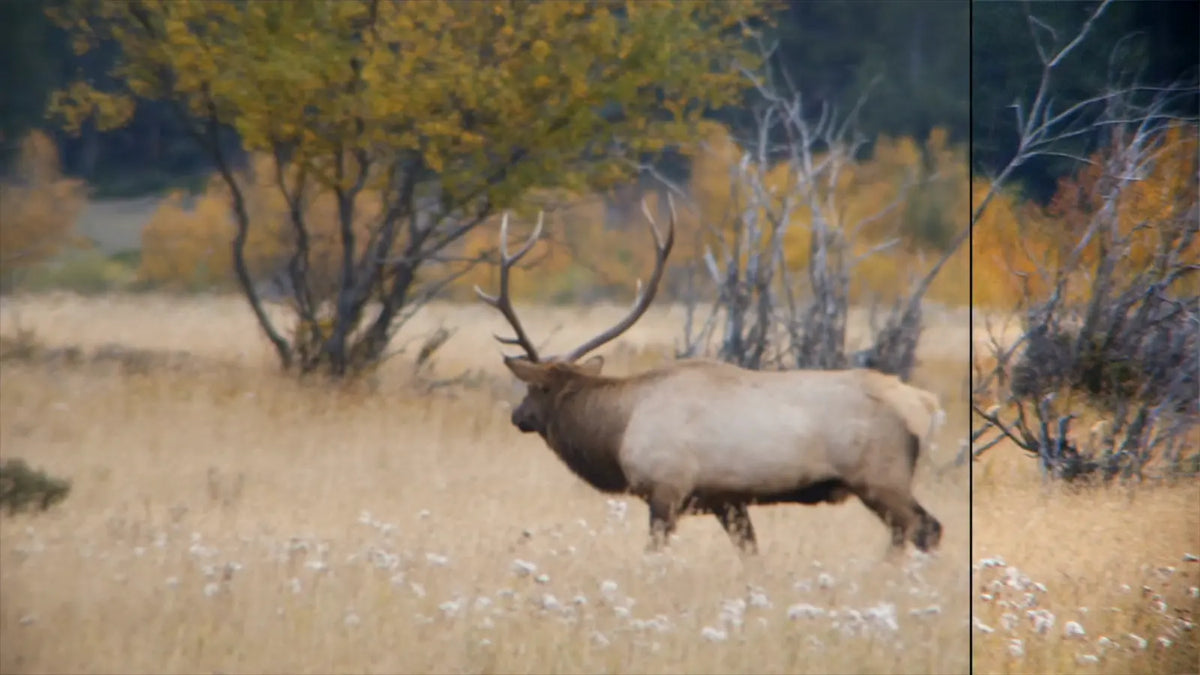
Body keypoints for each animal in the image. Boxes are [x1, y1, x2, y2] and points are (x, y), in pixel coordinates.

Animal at [475, 197, 945, 556]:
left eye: (536, 387)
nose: (518, 415)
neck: (619, 429)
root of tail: (926, 405)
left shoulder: (666, 488)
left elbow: (654, 553)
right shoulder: (726, 500)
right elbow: (751, 553)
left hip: (881, 477)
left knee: (924, 529)